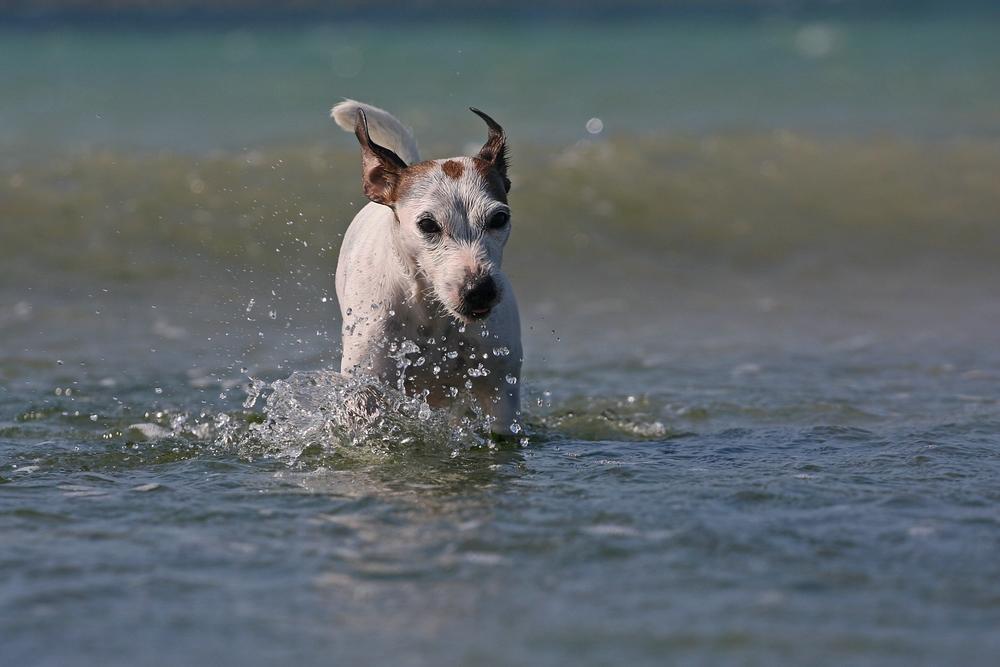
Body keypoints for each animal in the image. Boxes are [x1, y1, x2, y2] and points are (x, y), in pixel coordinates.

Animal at [334, 96, 528, 436]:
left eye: (499, 218)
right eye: (427, 224)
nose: (479, 291)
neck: (432, 316)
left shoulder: (500, 390)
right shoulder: (368, 387)